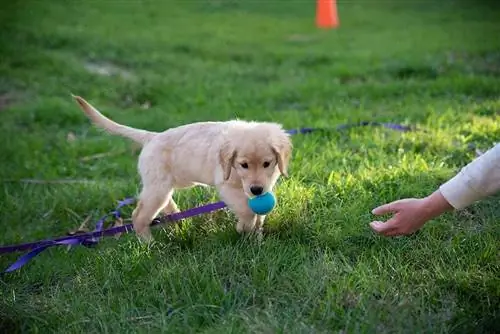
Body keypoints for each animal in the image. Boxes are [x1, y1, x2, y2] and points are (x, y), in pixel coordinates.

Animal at [74, 95, 292, 241]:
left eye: (267, 163)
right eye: (243, 165)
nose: (256, 190)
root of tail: (151, 137)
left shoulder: (265, 185)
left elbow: (258, 211)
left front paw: (256, 235)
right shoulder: (227, 185)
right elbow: (246, 209)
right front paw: (244, 228)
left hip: (164, 187)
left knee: (164, 208)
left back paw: (178, 222)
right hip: (157, 187)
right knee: (139, 216)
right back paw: (149, 245)